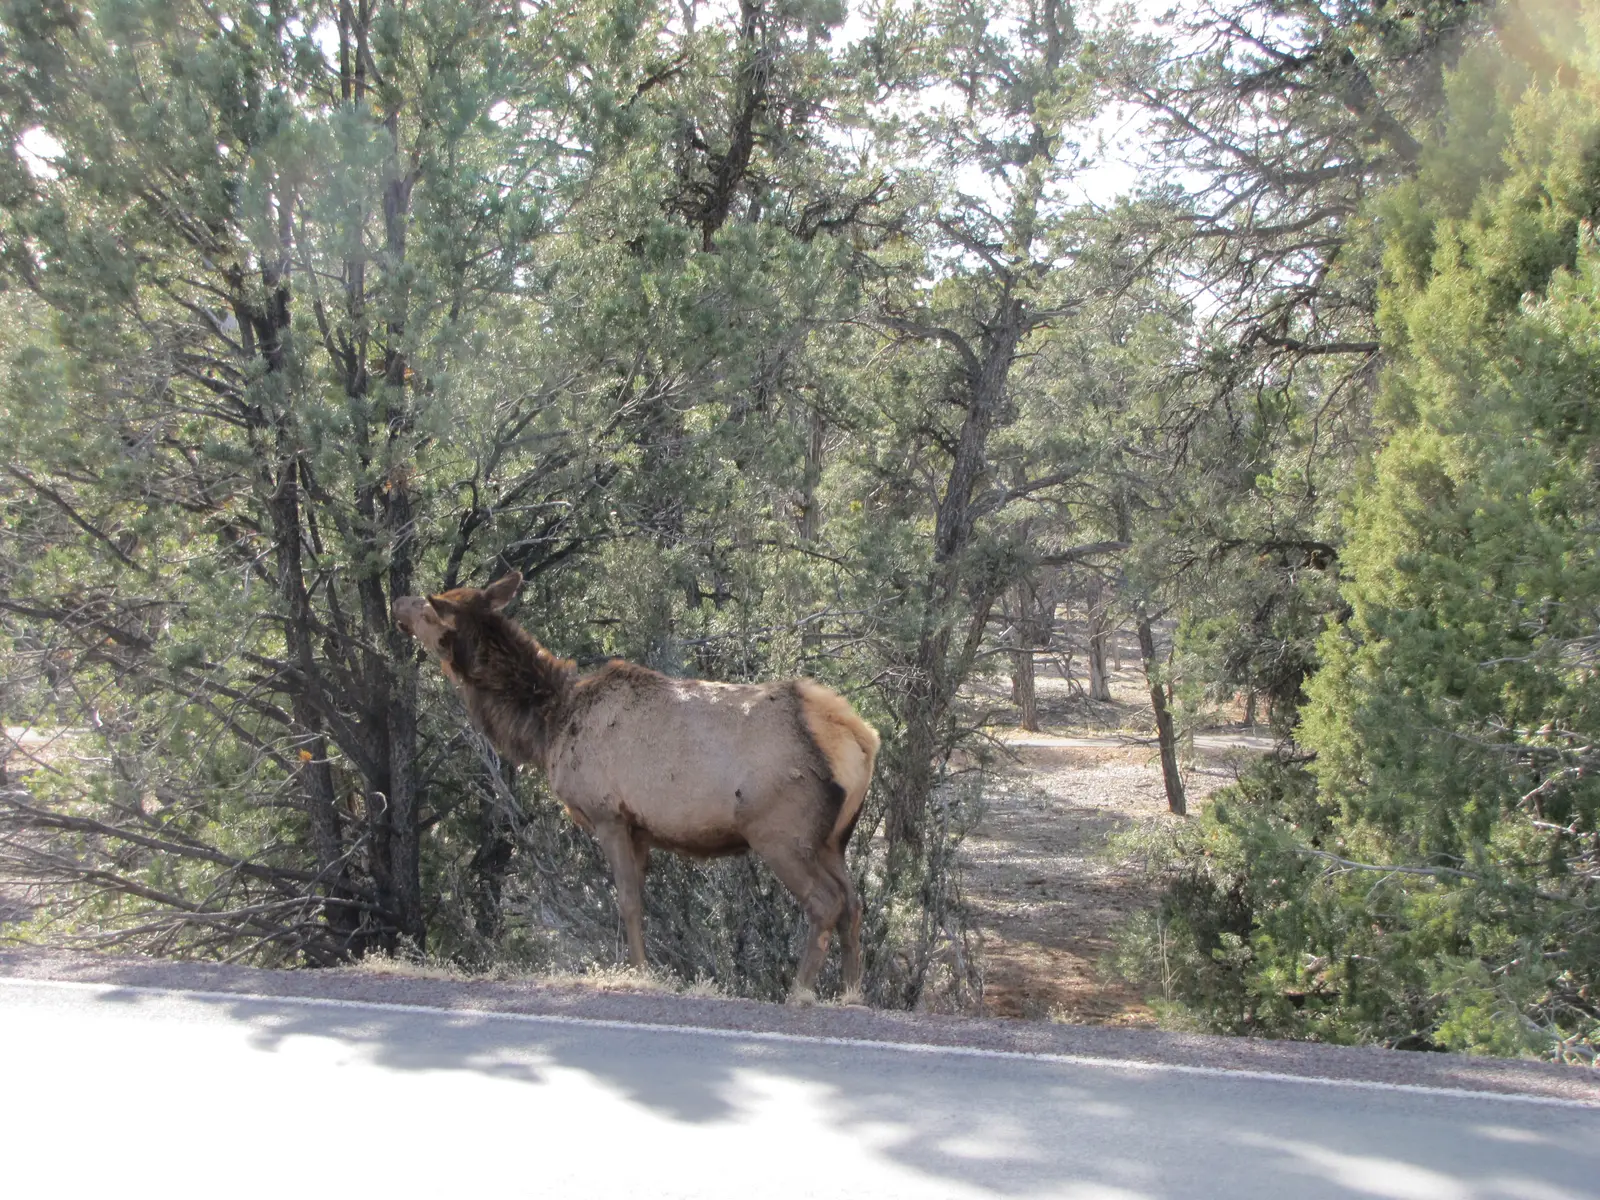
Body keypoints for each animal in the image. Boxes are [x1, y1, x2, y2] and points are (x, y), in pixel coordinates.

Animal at [393, 571, 880, 1002]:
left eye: (431, 608)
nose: (398, 603)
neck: (547, 726)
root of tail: (860, 738)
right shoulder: (642, 828)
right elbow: (640, 901)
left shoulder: (608, 813)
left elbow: (626, 900)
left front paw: (640, 973)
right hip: (833, 839)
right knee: (853, 904)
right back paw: (852, 994)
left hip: (779, 831)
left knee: (825, 901)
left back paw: (800, 992)